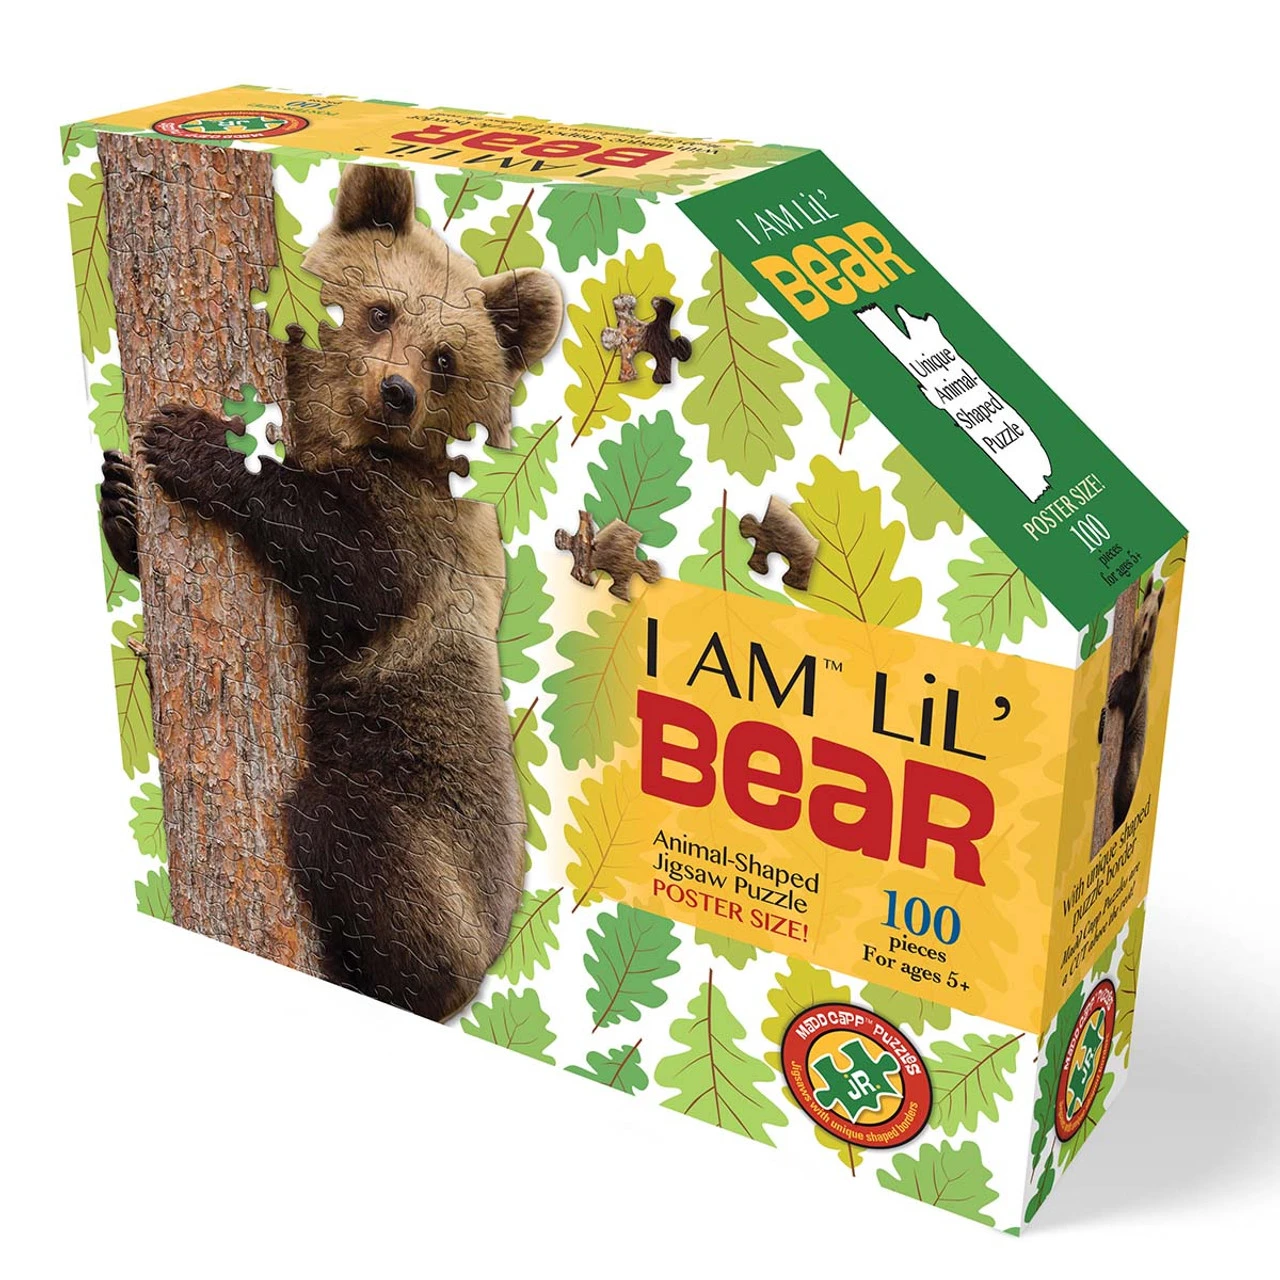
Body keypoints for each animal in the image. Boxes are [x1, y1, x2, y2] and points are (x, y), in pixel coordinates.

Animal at [99, 164, 564, 1021]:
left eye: (446, 358)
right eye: (380, 310)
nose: (396, 391)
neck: (341, 435)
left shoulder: (421, 536)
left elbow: (352, 565)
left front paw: (191, 442)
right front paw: (120, 498)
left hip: (426, 808)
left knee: (346, 830)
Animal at [1098, 582, 1166, 833]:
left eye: (1153, 618)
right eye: (1144, 615)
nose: (1145, 635)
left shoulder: (1142, 678)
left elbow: (1130, 690)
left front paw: (1117, 691)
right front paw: (1103, 719)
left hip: (1131, 754)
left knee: (1123, 782)